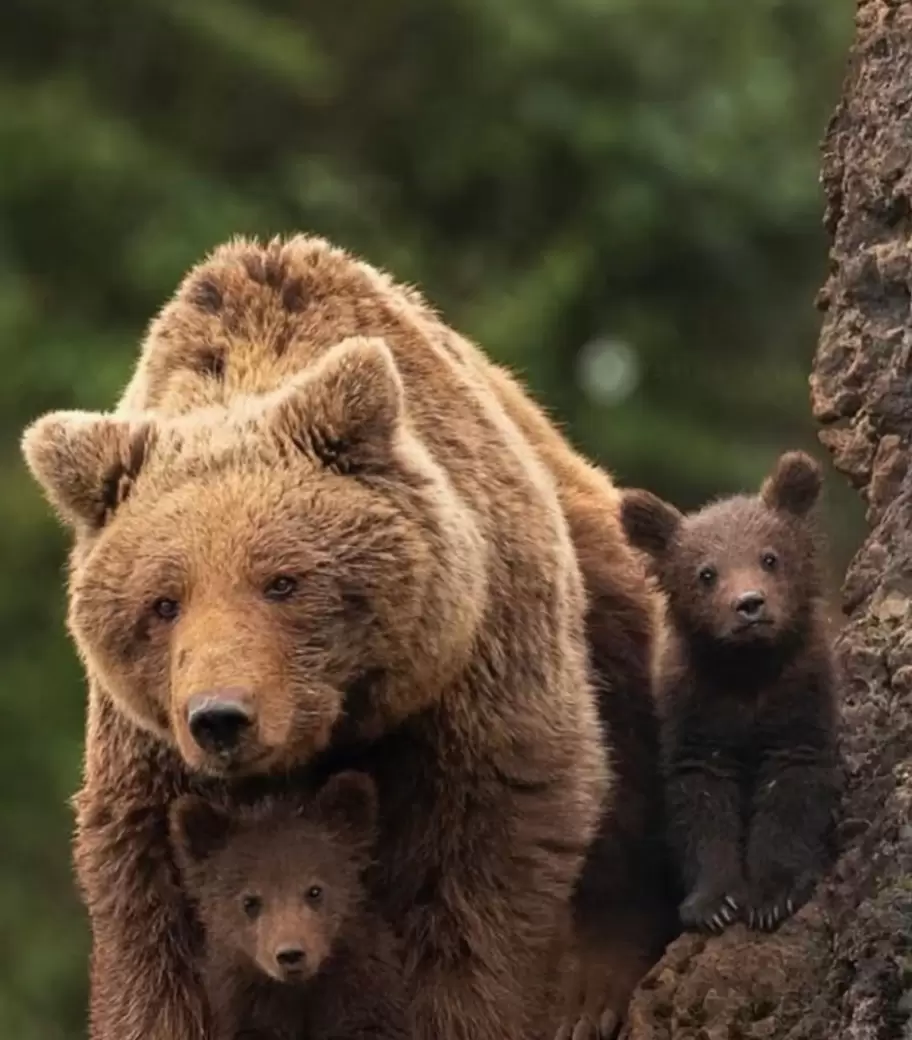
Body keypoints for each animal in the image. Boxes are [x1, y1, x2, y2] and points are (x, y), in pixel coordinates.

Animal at [619, 451, 840, 935]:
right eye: (706, 573)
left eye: (770, 556)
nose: (750, 604)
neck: (747, 673)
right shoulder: (696, 714)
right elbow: (701, 804)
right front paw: (712, 902)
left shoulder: (798, 702)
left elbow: (790, 793)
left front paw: (773, 893)